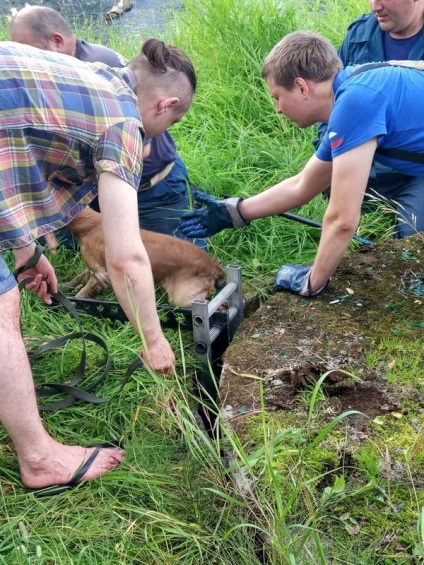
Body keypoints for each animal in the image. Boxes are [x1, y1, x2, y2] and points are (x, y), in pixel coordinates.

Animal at [62, 207, 225, 306]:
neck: (90, 225)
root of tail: (212, 265)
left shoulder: (102, 273)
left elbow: (82, 292)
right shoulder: (94, 269)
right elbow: (78, 278)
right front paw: (65, 286)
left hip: (183, 297)